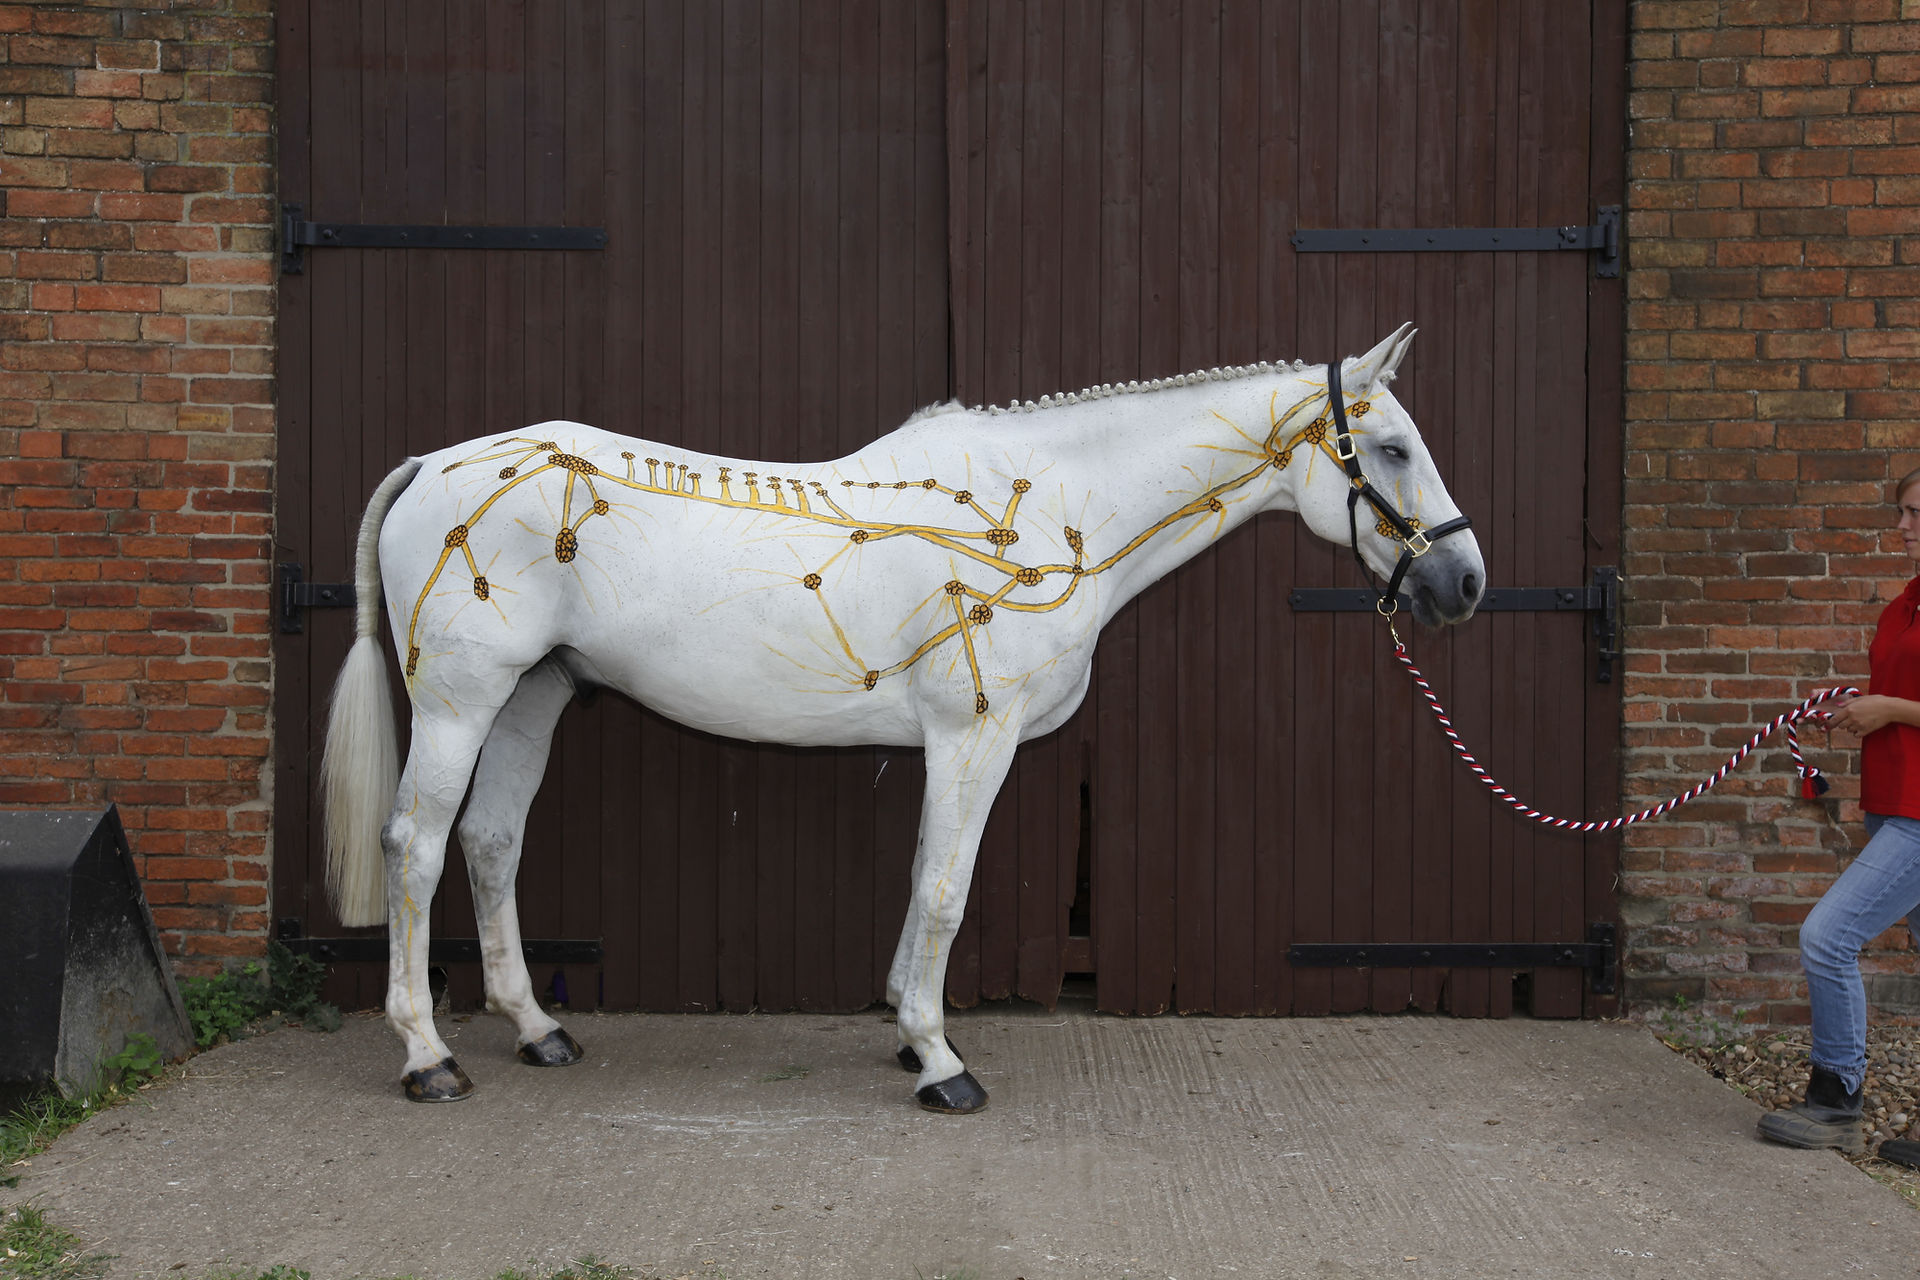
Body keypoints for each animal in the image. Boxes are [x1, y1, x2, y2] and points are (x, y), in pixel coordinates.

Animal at [319, 323, 1484, 1113]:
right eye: (1390, 450)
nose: (1466, 583)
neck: (1049, 511)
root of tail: (434, 465)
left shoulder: (951, 743)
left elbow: (925, 873)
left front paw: (908, 1030)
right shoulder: (976, 736)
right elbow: (945, 889)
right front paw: (940, 1062)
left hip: (535, 695)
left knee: (491, 841)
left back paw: (537, 1028)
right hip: (462, 701)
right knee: (416, 845)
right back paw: (428, 1056)